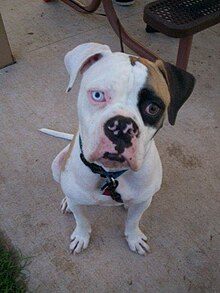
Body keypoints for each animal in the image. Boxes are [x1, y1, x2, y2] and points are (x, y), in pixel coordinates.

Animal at [40, 42, 195, 253]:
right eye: (97, 95)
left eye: (153, 108)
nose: (121, 127)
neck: (110, 174)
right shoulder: (78, 203)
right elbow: (82, 220)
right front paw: (81, 236)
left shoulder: (144, 201)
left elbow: (133, 222)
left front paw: (134, 238)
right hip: (57, 166)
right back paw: (67, 202)